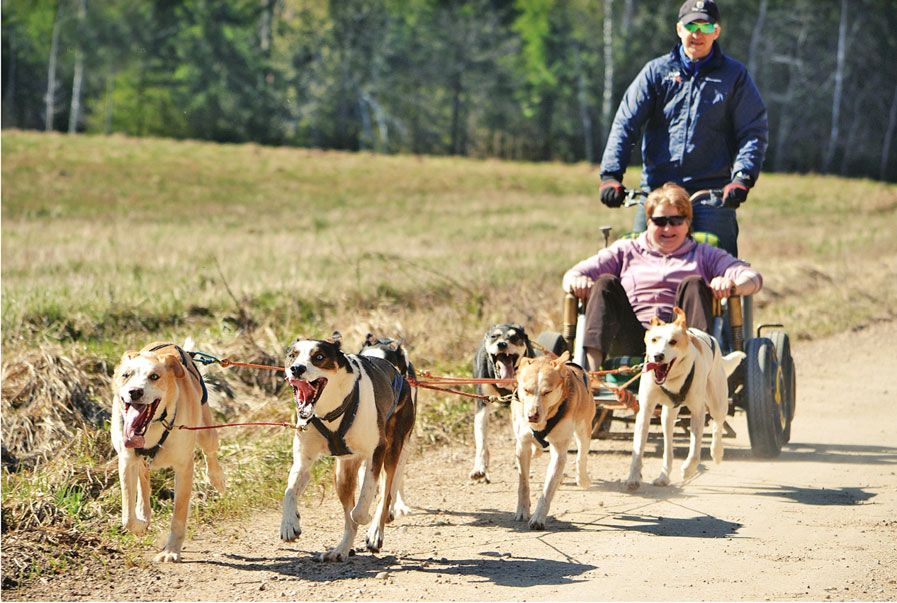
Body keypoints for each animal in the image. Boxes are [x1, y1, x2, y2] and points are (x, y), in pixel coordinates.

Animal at [110, 342, 226, 564]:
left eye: (154, 376)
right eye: (126, 375)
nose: (134, 392)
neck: (156, 424)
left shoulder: (184, 467)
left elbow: (179, 514)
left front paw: (171, 550)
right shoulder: (127, 460)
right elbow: (127, 516)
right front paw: (139, 525)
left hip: (206, 431)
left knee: (210, 452)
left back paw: (217, 479)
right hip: (139, 460)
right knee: (143, 478)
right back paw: (143, 512)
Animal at [280, 330, 412, 560]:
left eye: (319, 356)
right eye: (292, 355)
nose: (296, 368)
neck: (328, 411)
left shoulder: (376, 451)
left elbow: (363, 502)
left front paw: (366, 517)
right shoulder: (303, 461)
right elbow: (289, 492)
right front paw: (289, 523)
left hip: (393, 450)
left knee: (385, 495)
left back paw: (375, 532)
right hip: (343, 473)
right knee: (350, 518)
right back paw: (341, 549)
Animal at [468, 324, 532, 484]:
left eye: (514, 337)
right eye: (494, 337)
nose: (502, 344)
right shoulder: (482, 407)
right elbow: (481, 443)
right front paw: (479, 468)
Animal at [512, 352, 596, 532]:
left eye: (547, 392)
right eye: (526, 390)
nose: (532, 416)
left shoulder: (559, 450)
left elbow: (548, 488)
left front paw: (538, 518)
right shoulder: (522, 445)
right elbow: (523, 485)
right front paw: (523, 509)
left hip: (584, 428)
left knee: (581, 455)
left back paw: (582, 478)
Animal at [624, 306, 744, 490]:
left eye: (673, 342)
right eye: (654, 340)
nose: (658, 356)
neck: (672, 379)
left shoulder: (698, 411)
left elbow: (695, 449)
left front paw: (688, 469)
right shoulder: (645, 411)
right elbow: (638, 450)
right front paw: (633, 477)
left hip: (717, 402)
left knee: (717, 424)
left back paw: (716, 452)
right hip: (668, 416)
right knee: (668, 447)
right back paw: (664, 476)